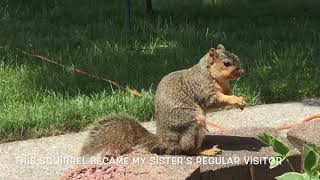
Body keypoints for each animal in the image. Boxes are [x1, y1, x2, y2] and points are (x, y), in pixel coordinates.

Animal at [80, 44, 245, 157]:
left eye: (237, 57)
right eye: (226, 63)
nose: (243, 71)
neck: (212, 75)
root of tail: (165, 142)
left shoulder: (224, 88)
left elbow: (227, 94)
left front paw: (240, 99)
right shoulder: (201, 87)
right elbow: (213, 101)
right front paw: (234, 100)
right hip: (193, 122)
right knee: (188, 149)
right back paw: (205, 150)